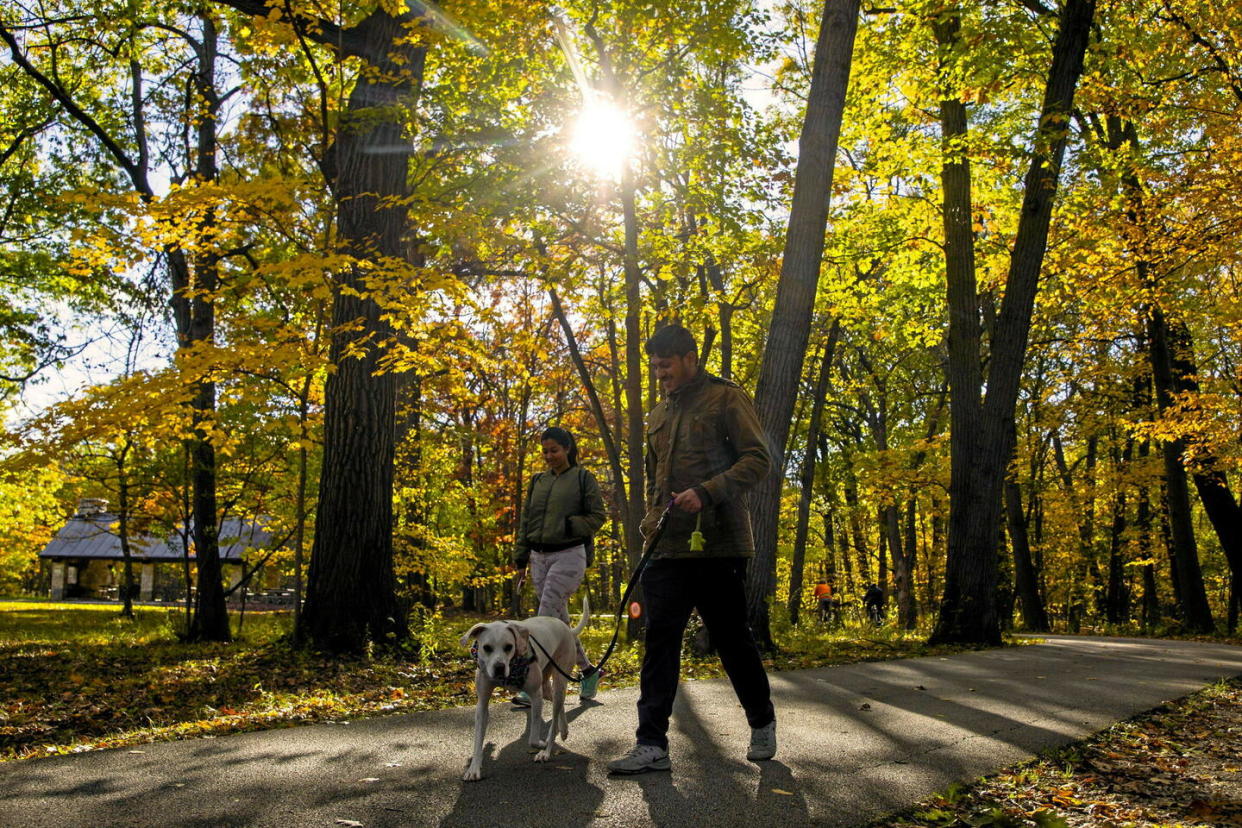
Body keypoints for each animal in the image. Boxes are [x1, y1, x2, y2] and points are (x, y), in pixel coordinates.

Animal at [462, 595, 591, 784]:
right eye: (486, 648)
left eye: (509, 646)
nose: (499, 667)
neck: (512, 668)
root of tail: (565, 628)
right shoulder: (482, 703)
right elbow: (478, 739)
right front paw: (474, 768)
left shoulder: (536, 697)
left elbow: (533, 739)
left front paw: (542, 744)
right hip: (548, 687)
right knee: (558, 704)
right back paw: (564, 730)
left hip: (559, 680)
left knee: (555, 715)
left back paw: (546, 750)